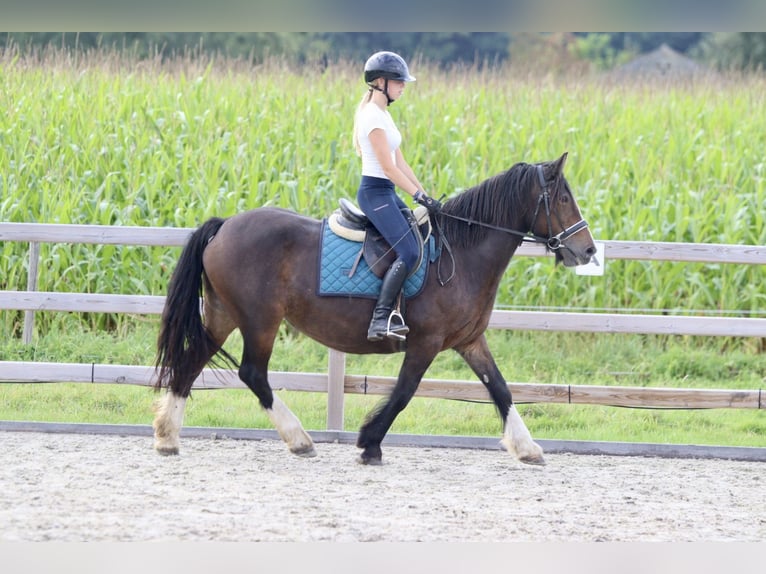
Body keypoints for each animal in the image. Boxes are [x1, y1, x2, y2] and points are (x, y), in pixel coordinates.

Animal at [154, 154, 600, 468]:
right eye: (563, 198)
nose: (588, 250)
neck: (463, 253)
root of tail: (225, 225)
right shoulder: (425, 343)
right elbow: (403, 393)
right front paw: (370, 444)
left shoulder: (470, 340)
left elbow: (501, 389)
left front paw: (527, 448)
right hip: (260, 321)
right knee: (252, 374)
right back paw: (299, 439)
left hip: (223, 316)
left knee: (191, 361)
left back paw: (167, 436)